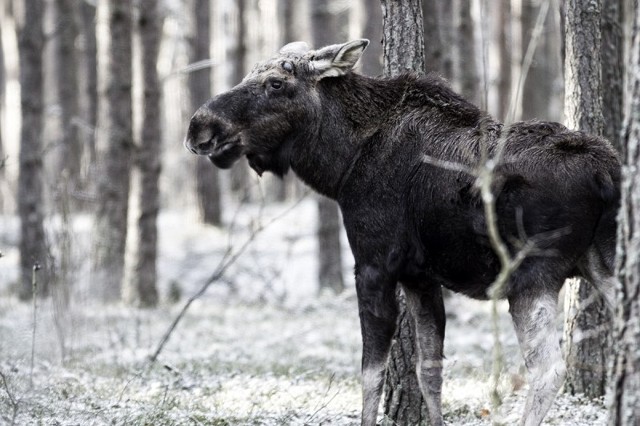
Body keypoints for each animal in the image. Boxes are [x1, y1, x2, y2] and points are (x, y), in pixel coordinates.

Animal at [184, 38, 620, 424]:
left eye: (276, 82)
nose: (199, 128)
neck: (341, 165)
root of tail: (606, 173)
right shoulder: (420, 278)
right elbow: (430, 371)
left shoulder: (373, 265)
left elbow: (370, 374)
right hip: (605, 262)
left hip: (531, 273)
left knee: (548, 370)